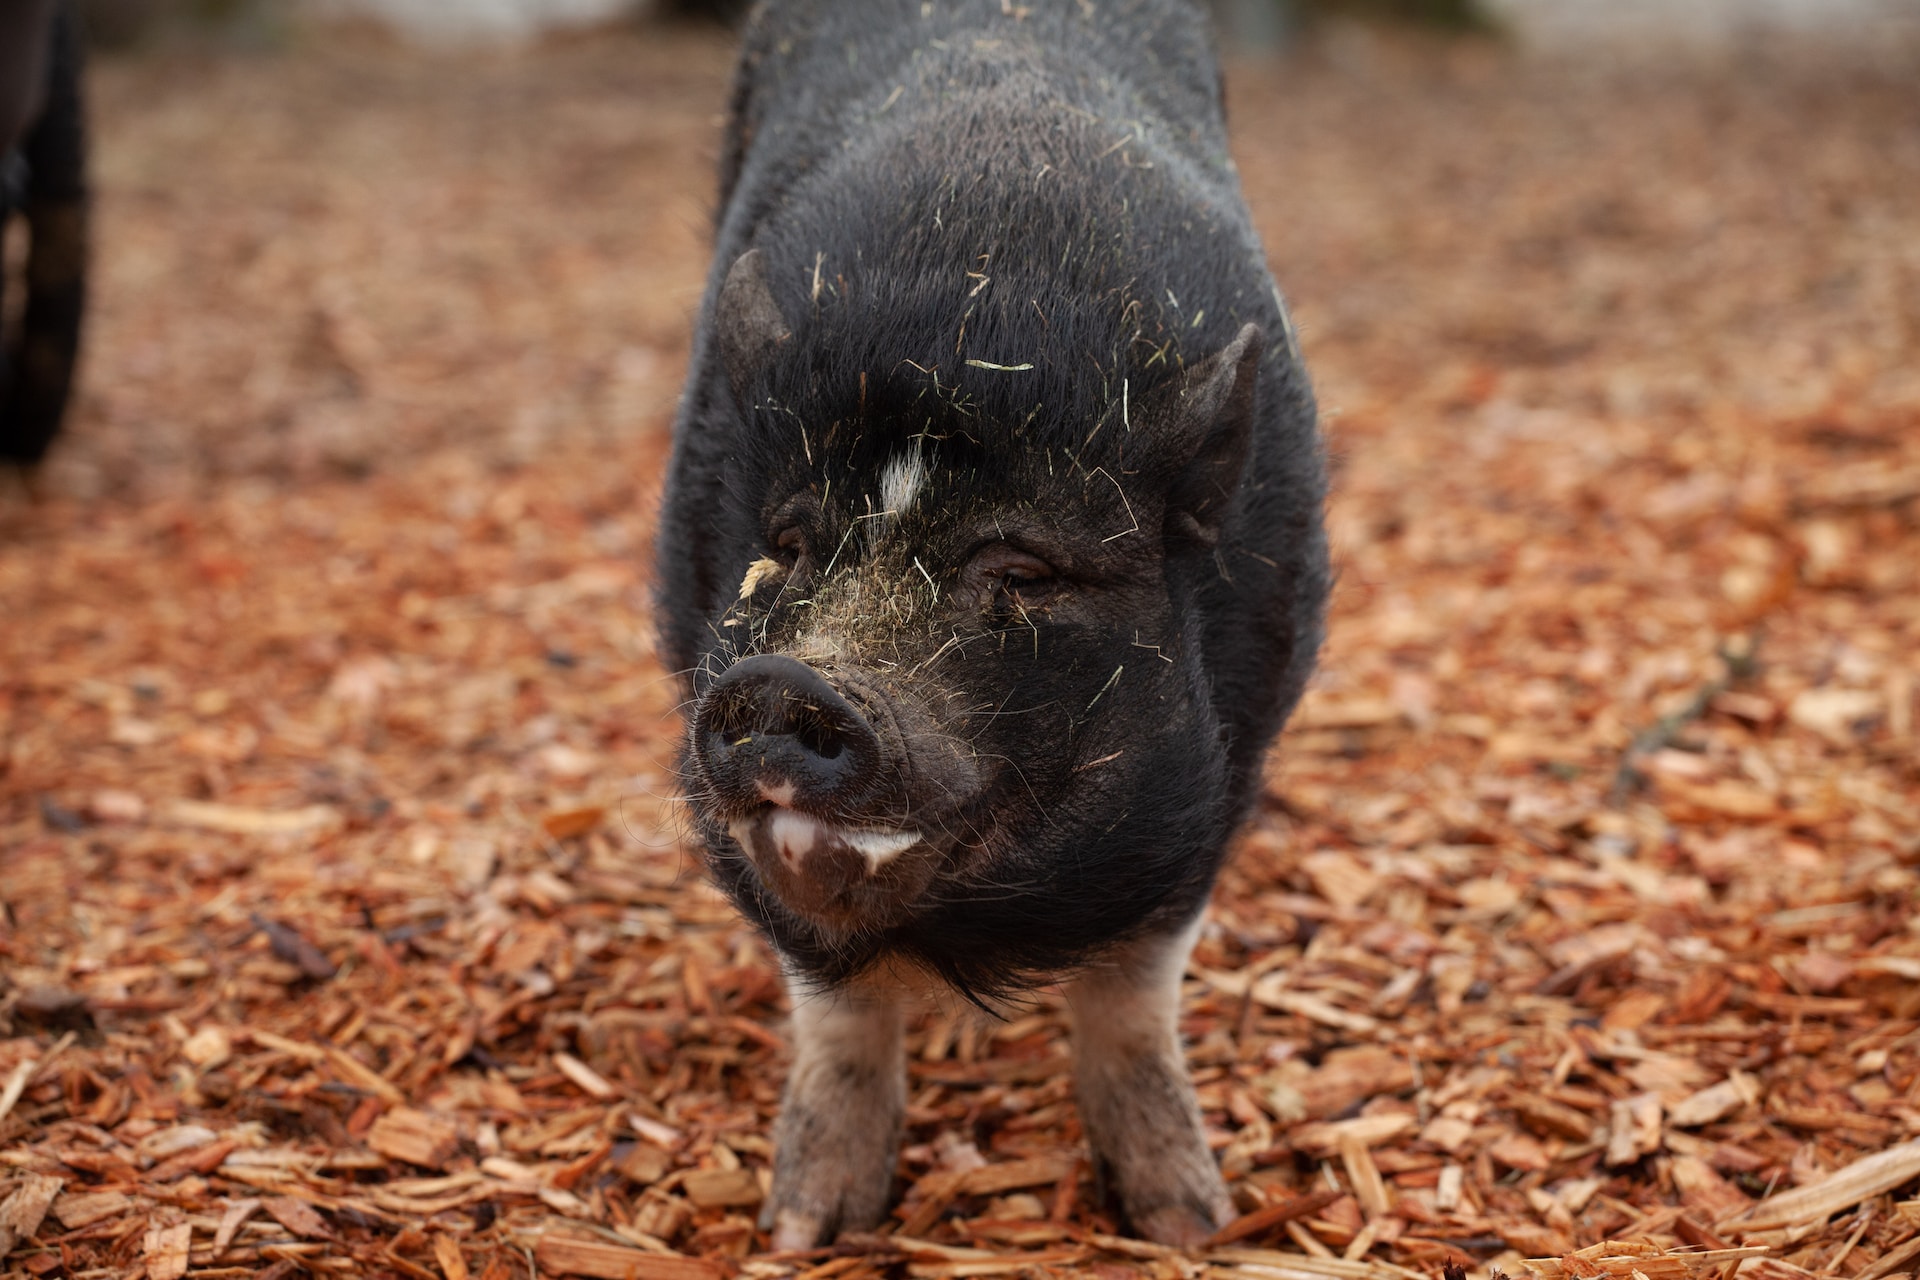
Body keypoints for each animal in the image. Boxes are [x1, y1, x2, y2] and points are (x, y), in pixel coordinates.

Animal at [652, 0, 1328, 1243]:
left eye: (1019, 565)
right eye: (795, 540)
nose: (786, 682)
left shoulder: (1223, 773)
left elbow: (1131, 994)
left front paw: (1189, 1224)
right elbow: (837, 1007)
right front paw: (803, 1229)